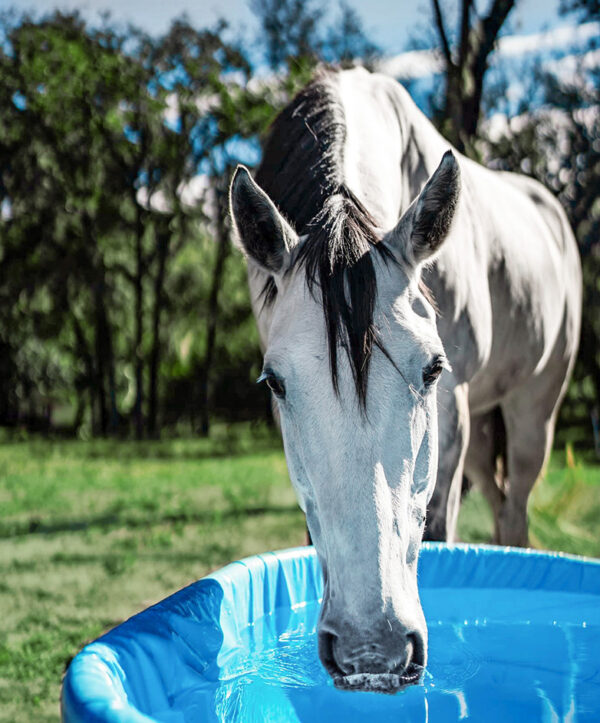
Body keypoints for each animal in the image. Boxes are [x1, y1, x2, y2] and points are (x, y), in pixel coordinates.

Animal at [227, 68, 580, 696]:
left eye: (432, 368)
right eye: (275, 384)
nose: (374, 648)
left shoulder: (453, 415)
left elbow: (436, 529)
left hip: (533, 412)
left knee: (516, 504)